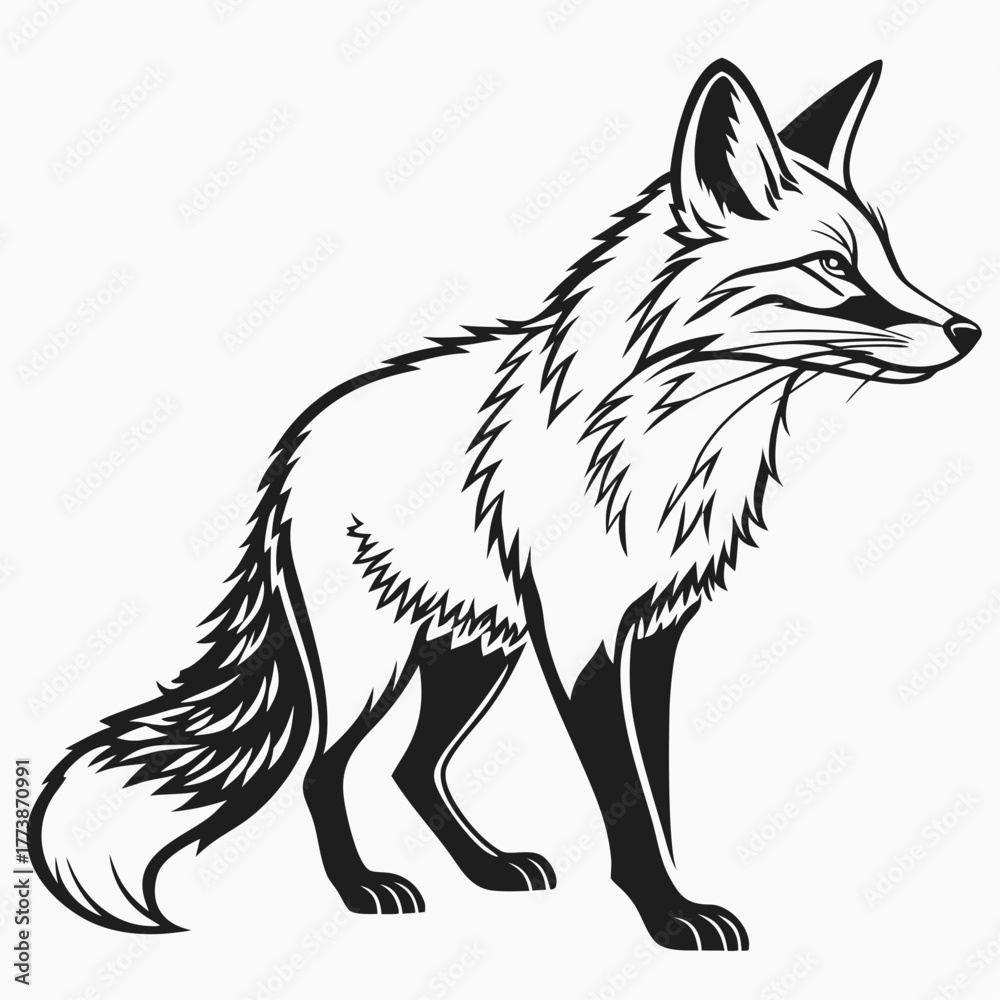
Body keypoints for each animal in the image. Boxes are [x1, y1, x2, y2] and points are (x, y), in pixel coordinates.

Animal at [30, 58, 981, 952]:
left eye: (889, 258)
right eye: (832, 266)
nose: (968, 332)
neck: (671, 439)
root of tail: (295, 444)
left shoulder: (655, 632)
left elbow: (659, 791)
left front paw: (675, 899)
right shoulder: (583, 637)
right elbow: (625, 795)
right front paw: (666, 915)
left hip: (475, 650)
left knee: (411, 769)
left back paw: (484, 869)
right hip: (377, 661)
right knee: (324, 768)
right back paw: (362, 888)